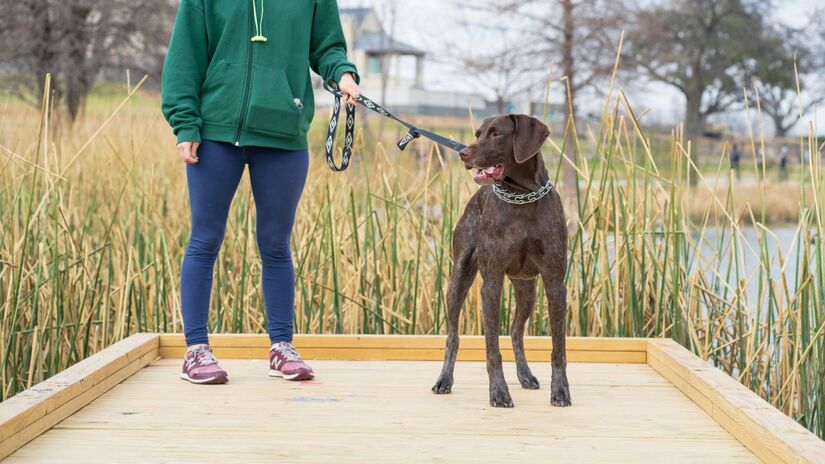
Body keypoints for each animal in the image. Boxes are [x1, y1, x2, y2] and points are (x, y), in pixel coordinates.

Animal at [432, 114, 568, 408]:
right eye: (478, 134)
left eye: (497, 134)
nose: (463, 153)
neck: (522, 197)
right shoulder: (491, 283)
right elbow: (492, 349)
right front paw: (499, 392)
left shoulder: (555, 283)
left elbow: (558, 349)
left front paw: (561, 391)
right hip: (458, 279)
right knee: (452, 336)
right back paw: (444, 380)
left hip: (526, 288)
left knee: (516, 331)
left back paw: (525, 374)